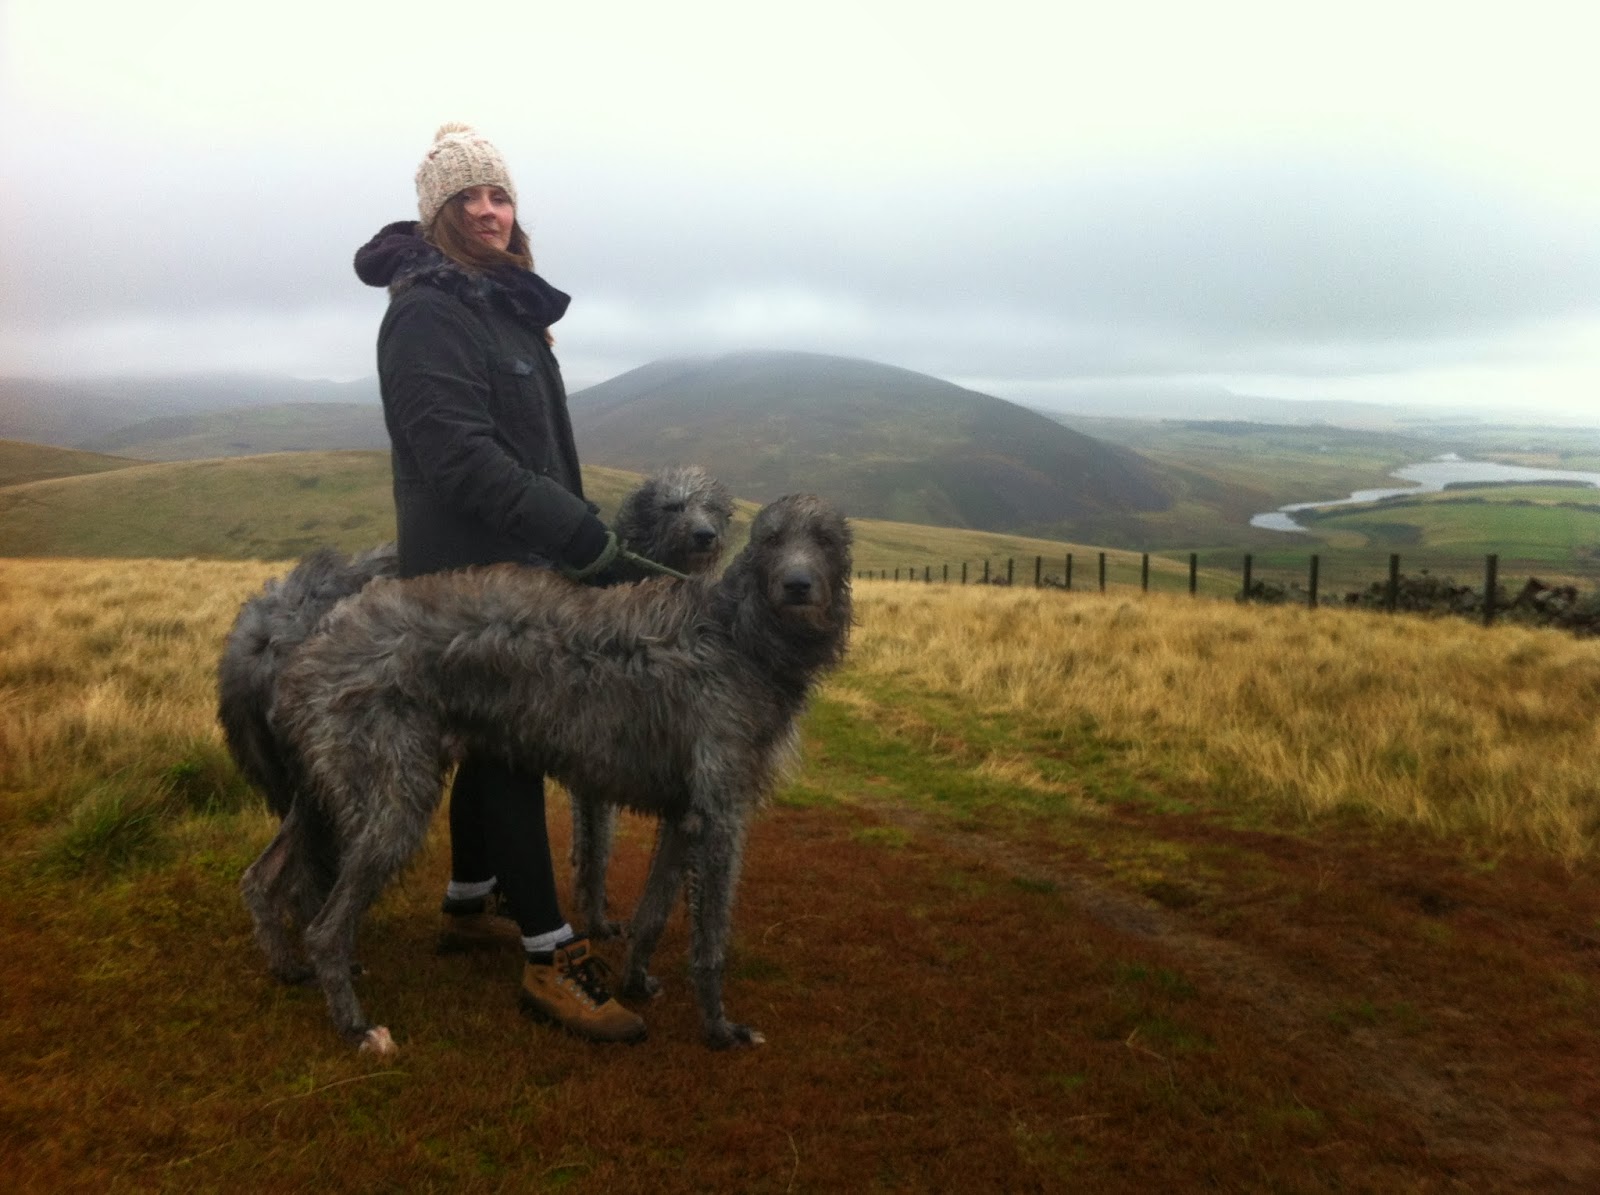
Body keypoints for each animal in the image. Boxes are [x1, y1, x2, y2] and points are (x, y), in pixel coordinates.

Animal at [217, 467, 732, 934]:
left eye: (713, 507)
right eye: (672, 506)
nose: (705, 536)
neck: (618, 577)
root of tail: (255, 632)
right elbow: (596, 846)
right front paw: (597, 919)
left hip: (313, 770)